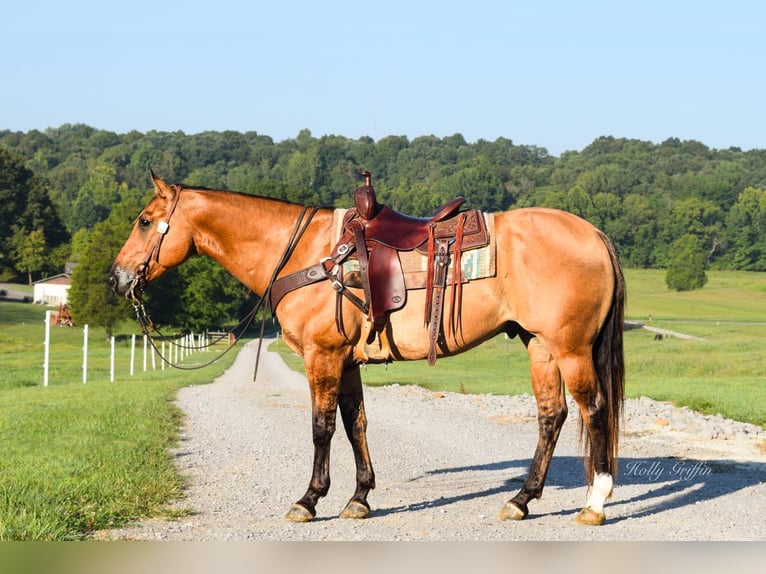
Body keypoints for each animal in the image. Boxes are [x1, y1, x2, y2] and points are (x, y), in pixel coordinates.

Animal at [109, 171, 624, 528]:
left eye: (145, 222)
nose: (116, 278)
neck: (307, 254)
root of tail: (595, 235)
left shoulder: (322, 355)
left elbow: (321, 428)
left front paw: (309, 500)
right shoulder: (347, 360)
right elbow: (355, 424)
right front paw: (358, 499)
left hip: (571, 348)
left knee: (595, 410)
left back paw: (595, 503)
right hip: (540, 346)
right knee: (552, 416)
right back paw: (520, 501)